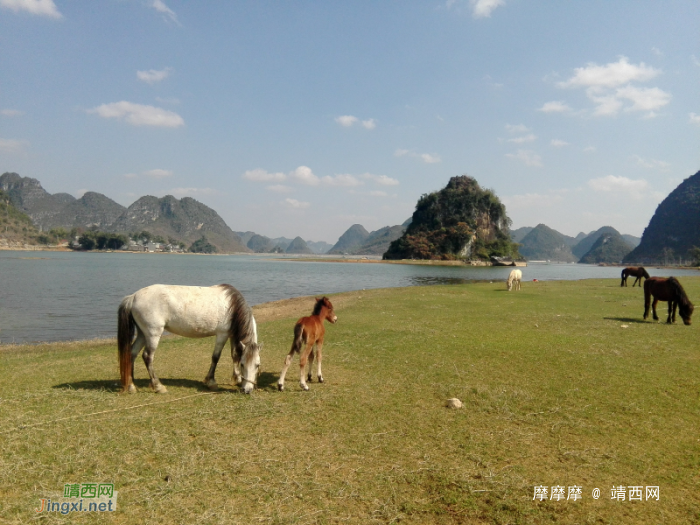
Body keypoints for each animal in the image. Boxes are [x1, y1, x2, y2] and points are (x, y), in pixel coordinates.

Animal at [116, 282, 262, 392]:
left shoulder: (232, 335)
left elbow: (235, 355)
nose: (247, 390)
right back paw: (158, 386)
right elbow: (216, 357)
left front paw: (237, 379)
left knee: (132, 353)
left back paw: (131, 385)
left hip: (142, 333)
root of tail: (133, 297)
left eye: (257, 365)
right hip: (153, 334)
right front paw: (211, 382)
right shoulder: (222, 334)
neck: (232, 306)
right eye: (243, 365)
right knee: (147, 357)